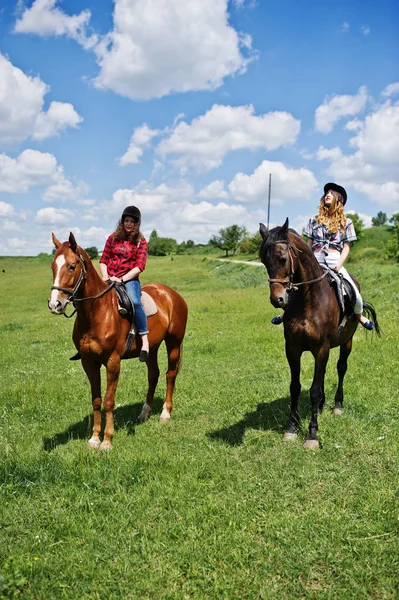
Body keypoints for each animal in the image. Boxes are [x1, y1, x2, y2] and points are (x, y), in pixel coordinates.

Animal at [48, 232, 189, 448]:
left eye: (72, 266)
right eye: (52, 267)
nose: (55, 304)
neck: (97, 312)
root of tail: (172, 294)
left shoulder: (113, 361)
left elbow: (108, 400)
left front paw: (107, 441)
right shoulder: (88, 362)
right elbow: (96, 400)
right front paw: (94, 438)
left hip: (173, 342)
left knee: (170, 374)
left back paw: (165, 413)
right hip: (152, 348)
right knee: (153, 374)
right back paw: (145, 412)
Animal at [260, 218, 382, 448]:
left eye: (282, 259)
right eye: (263, 261)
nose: (277, 300)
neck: (307, 300)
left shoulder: (321, 348)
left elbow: (314, 391)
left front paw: (312, 435)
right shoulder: (293, 348)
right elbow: (295, 387)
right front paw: (291, 429)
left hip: (347, 342)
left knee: (341, 368)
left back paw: (337, 405)